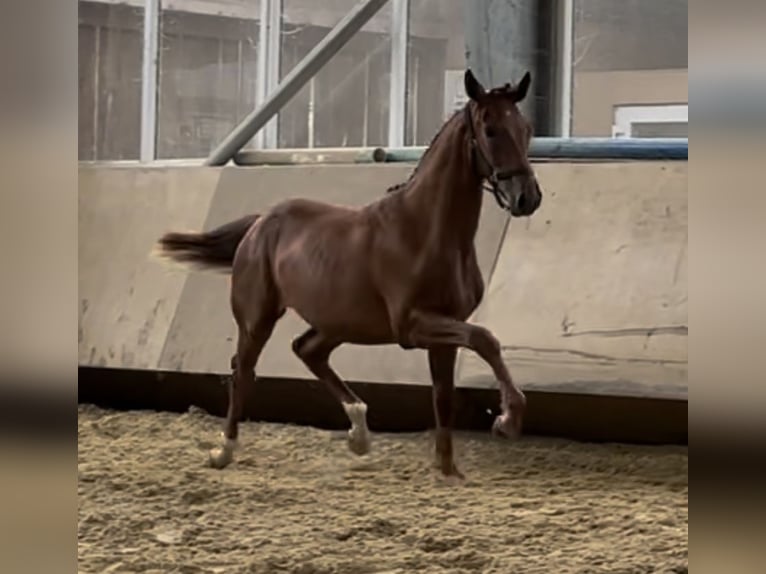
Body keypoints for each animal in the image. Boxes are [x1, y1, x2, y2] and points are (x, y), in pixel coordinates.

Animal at [154, 70, 540, 480]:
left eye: (526, 128)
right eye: (490, 129)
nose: (527, 198)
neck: (426, 231)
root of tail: (259, 223)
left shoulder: (445, 330)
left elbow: (444, 396)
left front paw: (448, 470)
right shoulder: (413, 326)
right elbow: (486, 339)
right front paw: (507, 419)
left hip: (338, 321)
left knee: (306, 350)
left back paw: (358, 431)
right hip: (258, 318)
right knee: (243, 370)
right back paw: (224, 451)